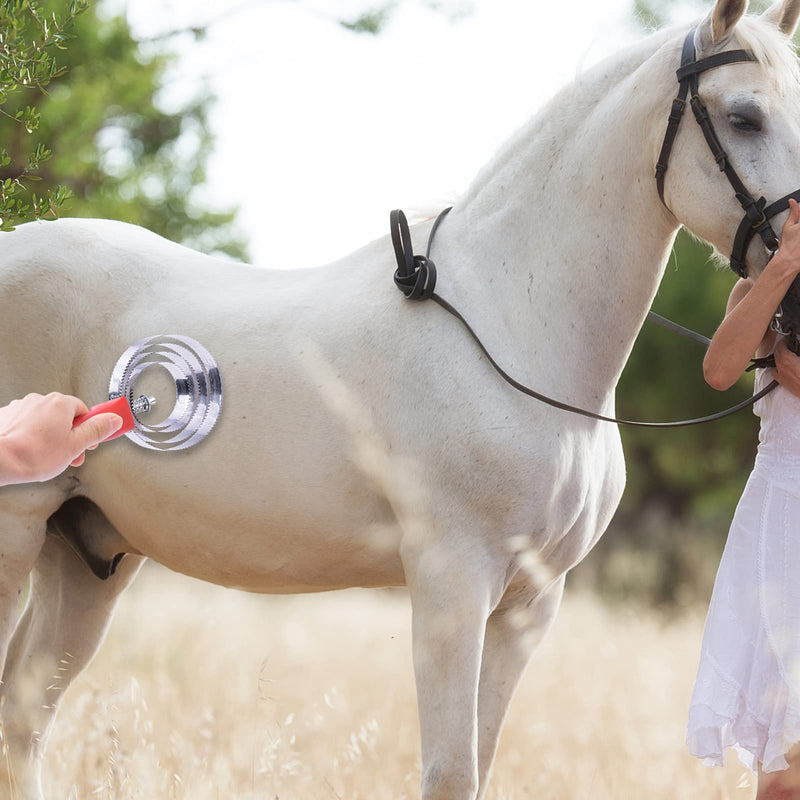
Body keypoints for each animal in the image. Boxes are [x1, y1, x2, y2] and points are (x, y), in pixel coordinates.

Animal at [1, 0, 800, 796]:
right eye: (744, 117)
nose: (791, 297)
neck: (512, 324)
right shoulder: (452, 585)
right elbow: (450, 771)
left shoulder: (530, 605)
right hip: (20, 530)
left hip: (88, 556)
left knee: (24, 719)